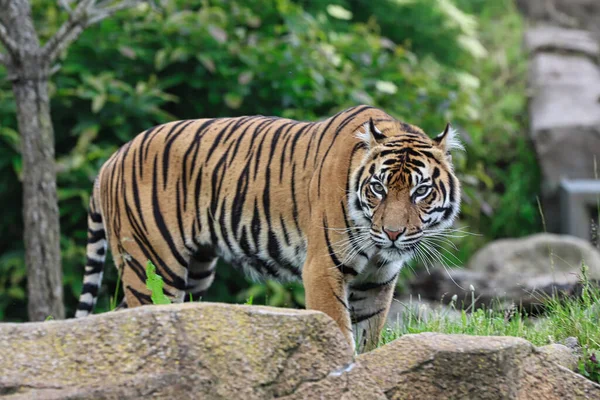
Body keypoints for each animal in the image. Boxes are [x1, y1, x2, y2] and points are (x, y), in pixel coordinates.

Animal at [74, 104, 460, 352]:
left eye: (420, 191)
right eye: (378, 188)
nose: (393, 233)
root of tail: (112, 158)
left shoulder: (377, 283)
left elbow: (369, 340)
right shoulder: (323, 269)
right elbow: (339, 331)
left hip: (193, 272)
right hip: (153, 265)